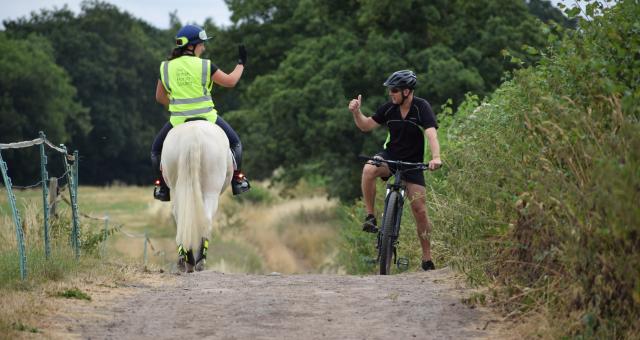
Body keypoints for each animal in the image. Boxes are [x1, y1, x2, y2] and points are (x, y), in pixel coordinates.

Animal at [160, 121, 232, 272]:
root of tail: (192, 137)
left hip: (177, 188)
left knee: (182, 217)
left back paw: (187, 259)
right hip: (211, 190)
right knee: (205, 220)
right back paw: (198, 261)